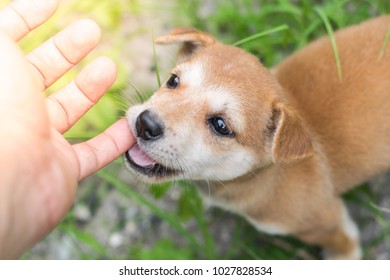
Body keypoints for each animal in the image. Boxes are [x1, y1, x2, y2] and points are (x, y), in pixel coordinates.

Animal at [125, 16, 390, 260]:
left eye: (220, 125)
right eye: (173, 80)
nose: (145, 124)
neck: (269, 177)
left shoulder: (324, 219)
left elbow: (343, 242)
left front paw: (342, 256)